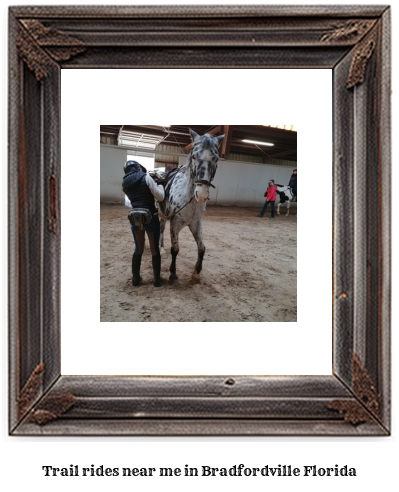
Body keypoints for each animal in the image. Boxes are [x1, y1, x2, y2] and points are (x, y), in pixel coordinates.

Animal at [158, 129, 225, 282]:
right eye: (194, 156)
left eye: (216, 158)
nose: (201, 194)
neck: (190, 200)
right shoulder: (175, 223)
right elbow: (175, 249)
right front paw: (173, 273)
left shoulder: (196, 223)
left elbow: (202, 248)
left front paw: (196, 272)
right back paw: (159, 250)